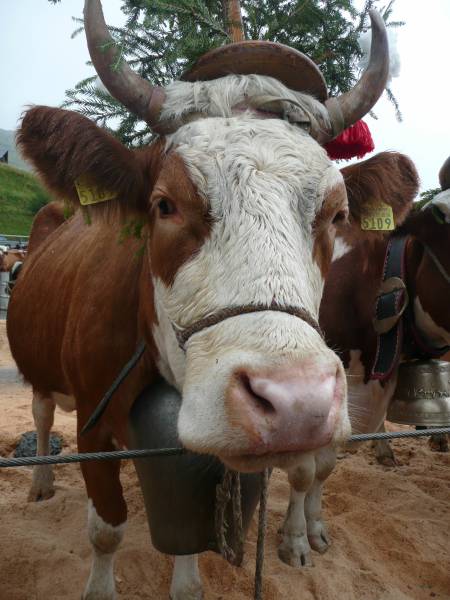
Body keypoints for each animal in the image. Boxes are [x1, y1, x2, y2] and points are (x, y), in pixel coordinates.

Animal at [7, 2, 394, 596]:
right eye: (164, 204)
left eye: (337, 214)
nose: (296, 404)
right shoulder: (93, 423)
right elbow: (106, 530)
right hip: (41, 371)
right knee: (43, 413)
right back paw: (42, 482)